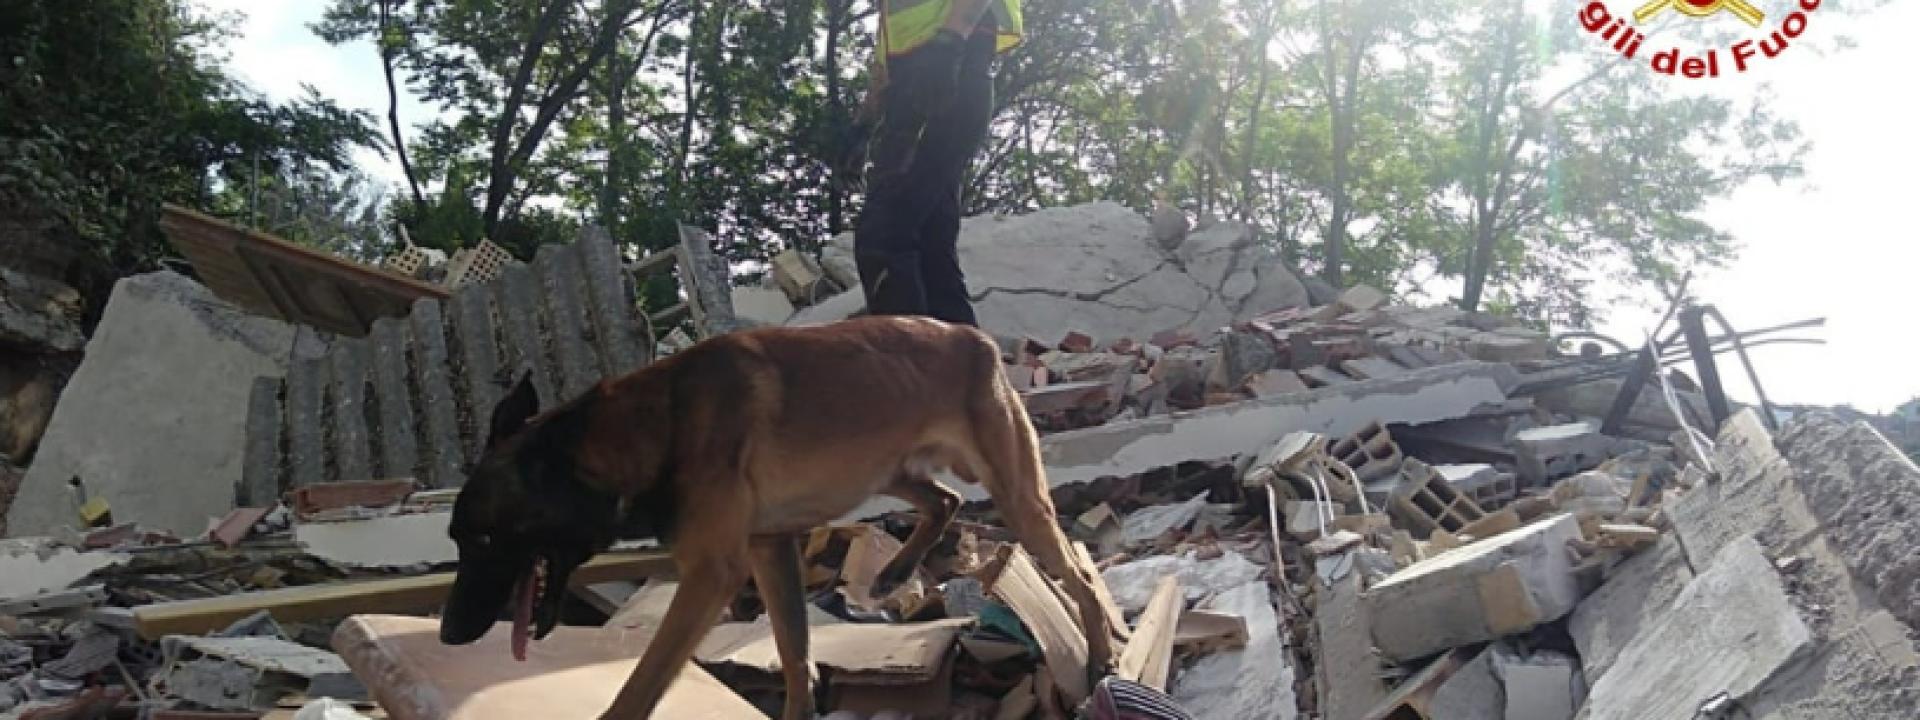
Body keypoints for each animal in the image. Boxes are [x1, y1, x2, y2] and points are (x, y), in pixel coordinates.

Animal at [437, 314, 1121, 720]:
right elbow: (794, 650)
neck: (653, 429)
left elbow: (642, 683)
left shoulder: (711, 573)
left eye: (486, 536)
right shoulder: (769, 549)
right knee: (945, 501)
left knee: (1078, 573)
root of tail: (969, 335)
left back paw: (1099, 656)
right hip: (888, 469)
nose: (447, 634)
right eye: (458, 538)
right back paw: (894, 573)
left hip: (1016, 497)